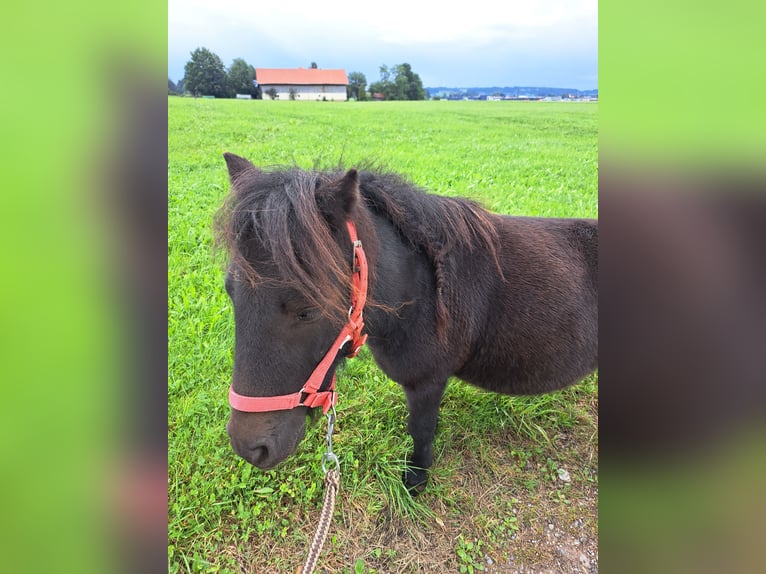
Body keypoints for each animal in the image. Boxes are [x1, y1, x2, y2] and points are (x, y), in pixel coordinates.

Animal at [216, 154, 600, 496]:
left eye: (308, 309)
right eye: (230, 290)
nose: (249, 447)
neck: (424, 291)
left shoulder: (427, 382)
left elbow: (421, 430)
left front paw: (415, 480)